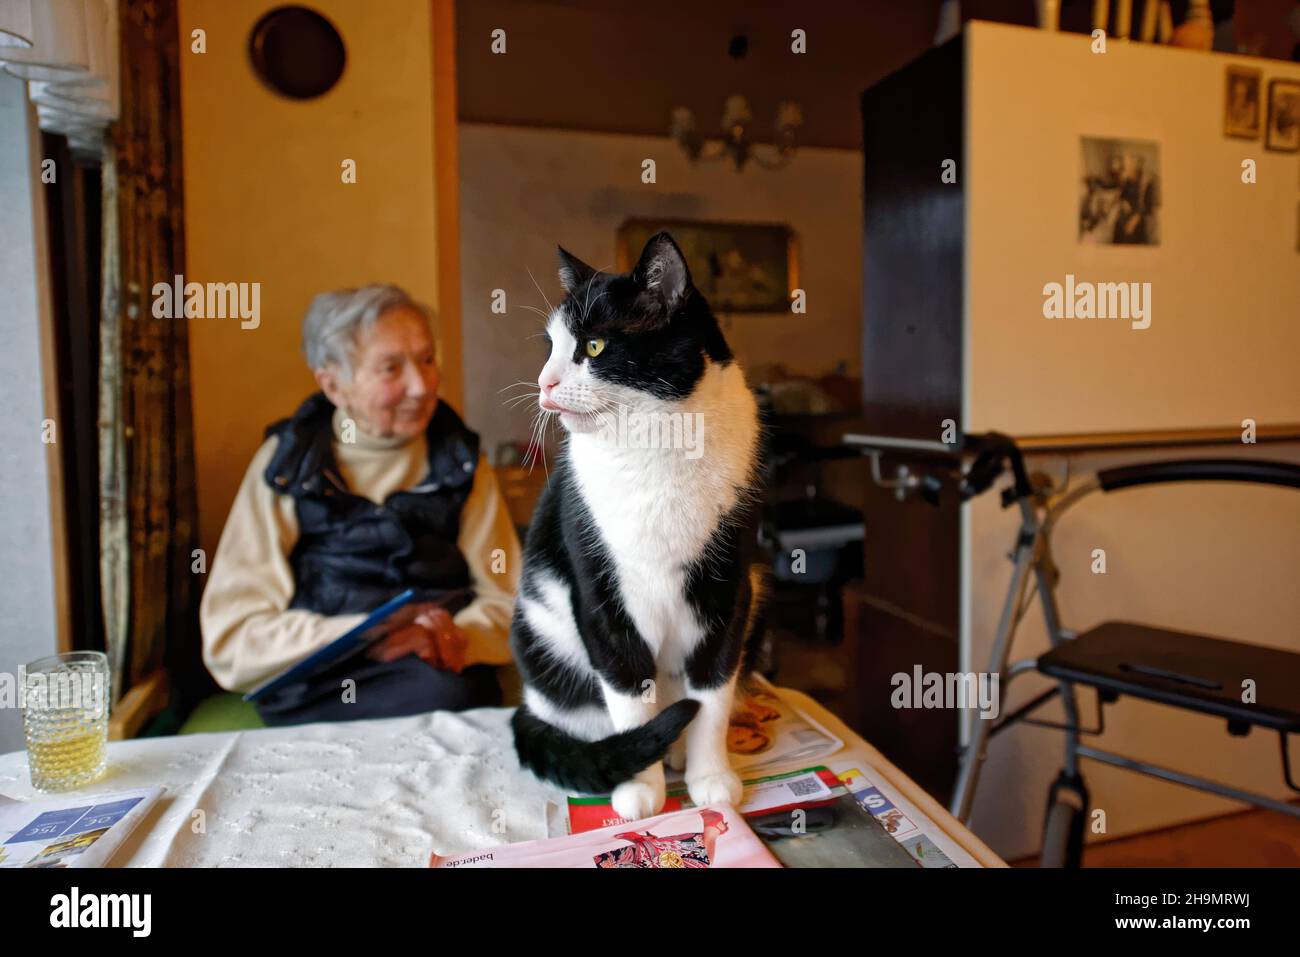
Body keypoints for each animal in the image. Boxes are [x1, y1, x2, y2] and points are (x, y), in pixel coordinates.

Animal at [509, 231, 769, 821]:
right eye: (549, 347)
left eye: (594, 347)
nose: (543, 383)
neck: (656, 446)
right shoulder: (600, 593)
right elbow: (629, 691)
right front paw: (640, 789)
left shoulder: (729, 589)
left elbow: (712, 692)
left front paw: (710, 778)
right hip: (541, 641)